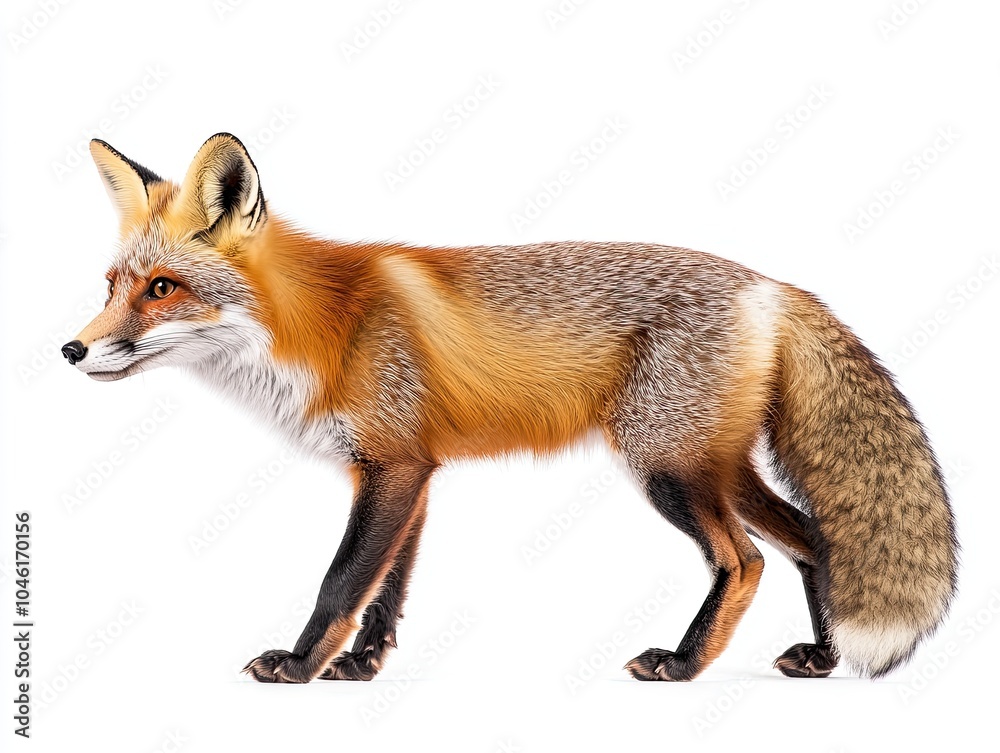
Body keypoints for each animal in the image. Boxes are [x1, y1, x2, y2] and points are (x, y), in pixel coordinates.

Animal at [62, 133, 957, 683]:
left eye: (162, 288)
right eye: (111, 286)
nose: (71, 350)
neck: (324, 327)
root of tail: (773, 284)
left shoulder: (393, 465)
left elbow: (341, 580)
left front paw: (299, 665)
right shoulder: (407, 469)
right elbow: (387, 587)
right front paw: (362, 667)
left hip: (668, 468)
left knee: (746, 561)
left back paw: (683, 663)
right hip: (713, 464)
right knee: (813, 537)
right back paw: (821, 656)